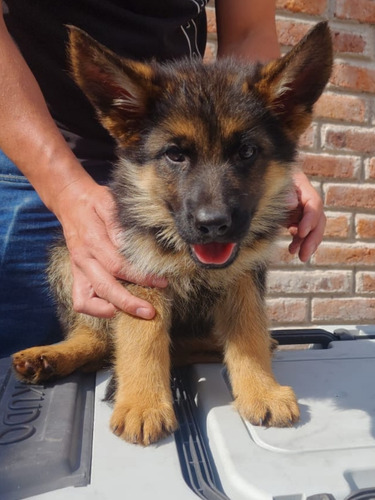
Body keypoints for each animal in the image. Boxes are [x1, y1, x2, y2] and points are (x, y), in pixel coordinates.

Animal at [13, 22, 334, 446]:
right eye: (175, 155)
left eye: (247, 152)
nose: (213, 224)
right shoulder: (139, 273)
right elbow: (141, 339)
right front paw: (143, 403)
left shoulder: (244, 277)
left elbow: (248, 332)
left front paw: (261, 390)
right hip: (66, 256)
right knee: (98, 337)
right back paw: (53, 355)